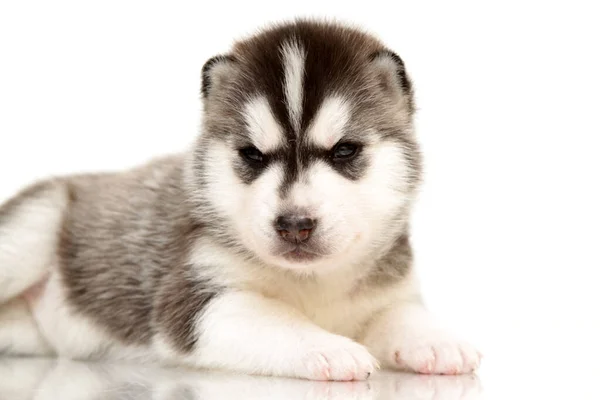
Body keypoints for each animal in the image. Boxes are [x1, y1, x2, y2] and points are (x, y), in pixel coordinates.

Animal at [0, 19, 478, 382]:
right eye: (252, 154)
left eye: (344, 151)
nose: (295, 225)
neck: (312, 282)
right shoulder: (199, 299)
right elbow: (276, 318)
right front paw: (328, 348)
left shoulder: (388, 291)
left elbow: (400, 313)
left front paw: (436, 340)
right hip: (34, 226)